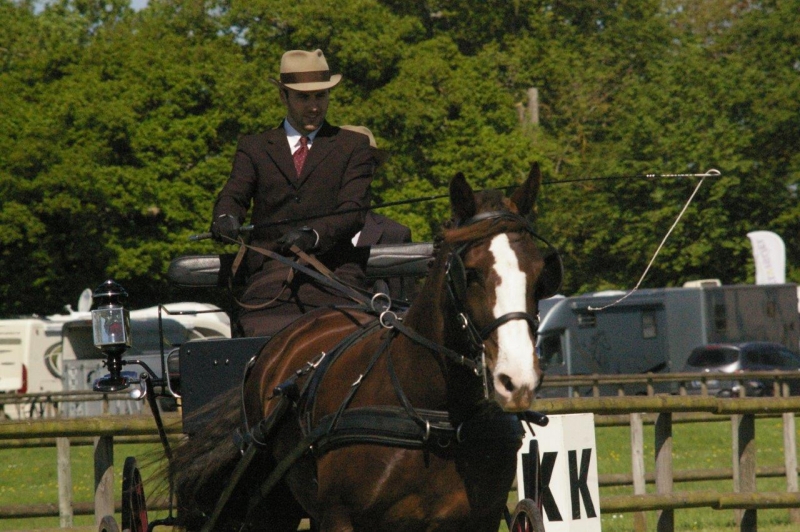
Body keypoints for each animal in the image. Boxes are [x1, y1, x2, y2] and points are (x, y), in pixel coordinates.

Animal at [165, 164, 564, 528]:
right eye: (470, 273)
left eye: (539, 274)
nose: (517, 380)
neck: (435, 417)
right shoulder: (340, 517)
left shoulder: (479, 520)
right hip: (268, 506)